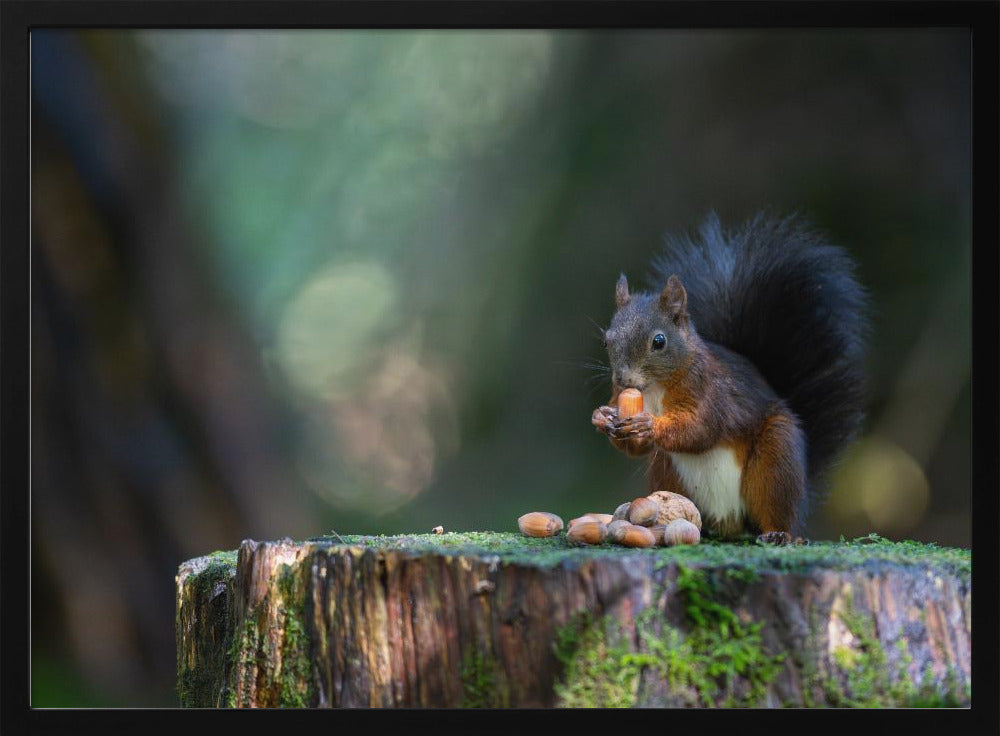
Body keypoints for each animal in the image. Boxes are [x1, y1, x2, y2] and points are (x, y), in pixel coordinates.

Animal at [591, 212, 868, 545]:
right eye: (606, 341)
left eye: (659, 341)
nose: (624, 379)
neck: (655, 390)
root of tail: (729, 523)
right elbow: (637, 447)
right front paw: (602, 417)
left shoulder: (710, 390)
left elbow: (702, 427)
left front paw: (650, 425)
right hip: (666, 470)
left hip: (775, 460)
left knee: (776, 507)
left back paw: (779, 534)